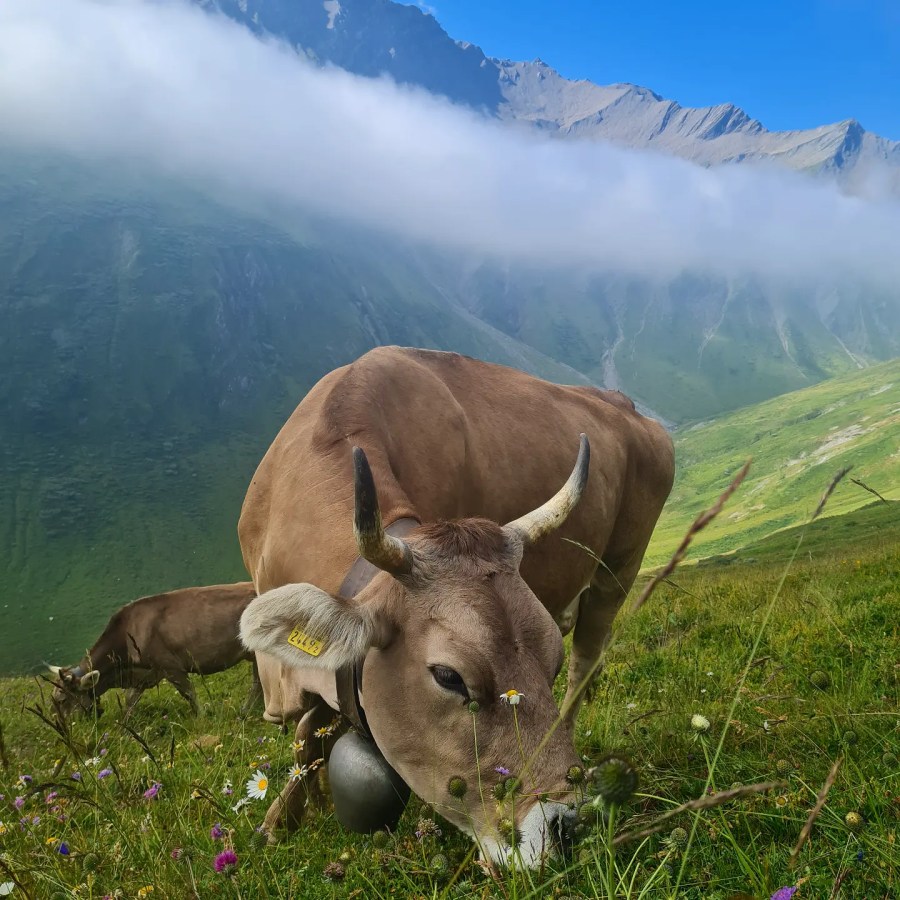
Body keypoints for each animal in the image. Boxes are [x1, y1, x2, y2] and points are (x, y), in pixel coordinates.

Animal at [49, 584, 260, 716]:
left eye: (62, 700)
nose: (62, 728)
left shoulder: (170, 666)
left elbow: (189, 694)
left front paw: (202, 716)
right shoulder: (145, 674)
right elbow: (130, 700)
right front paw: (126, 726)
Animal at [236, 348, 672, 868]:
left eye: (550, 661)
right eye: (449, 676)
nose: (567, 825)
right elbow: (308, 738)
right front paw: (279, 820)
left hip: (617, 572)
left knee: (585, 666)